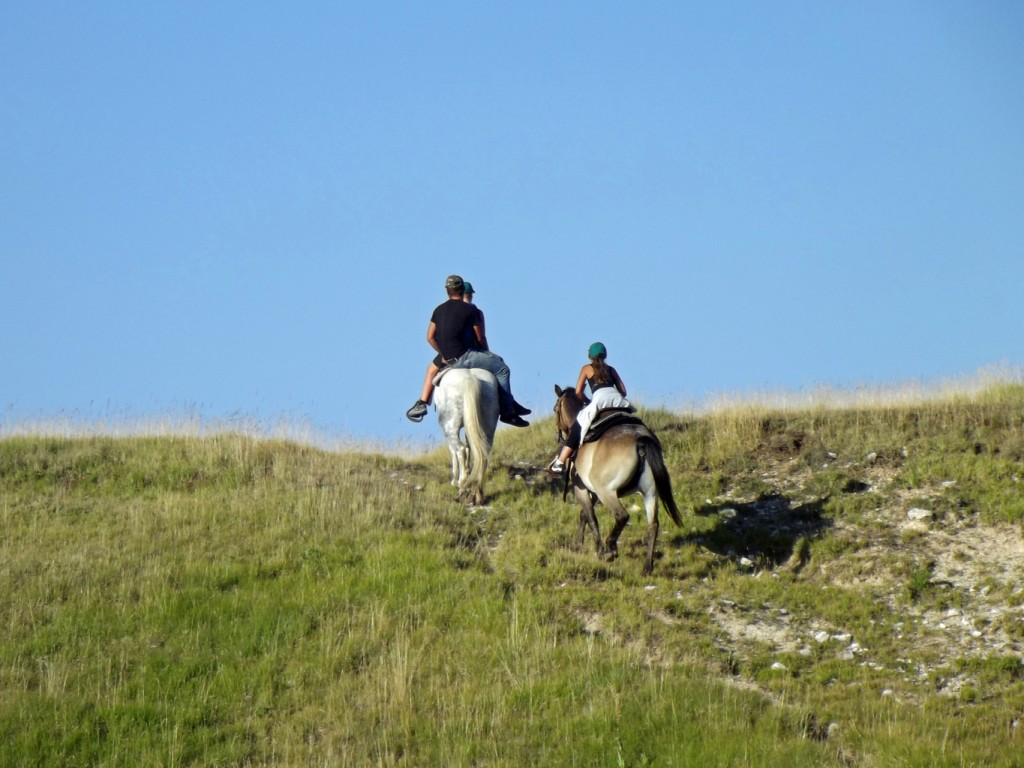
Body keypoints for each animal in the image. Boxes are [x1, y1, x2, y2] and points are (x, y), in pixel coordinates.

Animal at [432, 366, 499, 505]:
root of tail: (470, 378)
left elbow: (455, 451)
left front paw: (454, 480)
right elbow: (470, 448)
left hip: (449, 426)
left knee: (460, 449)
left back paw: (462, 486)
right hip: (487, 425)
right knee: (482, 454)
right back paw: (478, 493)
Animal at [548, 387, 684, 573]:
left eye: (556, 409)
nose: (560, 436)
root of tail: (641, 440)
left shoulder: (581, 488)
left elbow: (591, 517)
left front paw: (597, 550)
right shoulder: (592, 492)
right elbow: (584, 515)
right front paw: (578, 544)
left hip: (607, 492)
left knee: (622, 516)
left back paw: (610, 548)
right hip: (649, 492)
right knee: (653, 525)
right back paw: (647, 567)